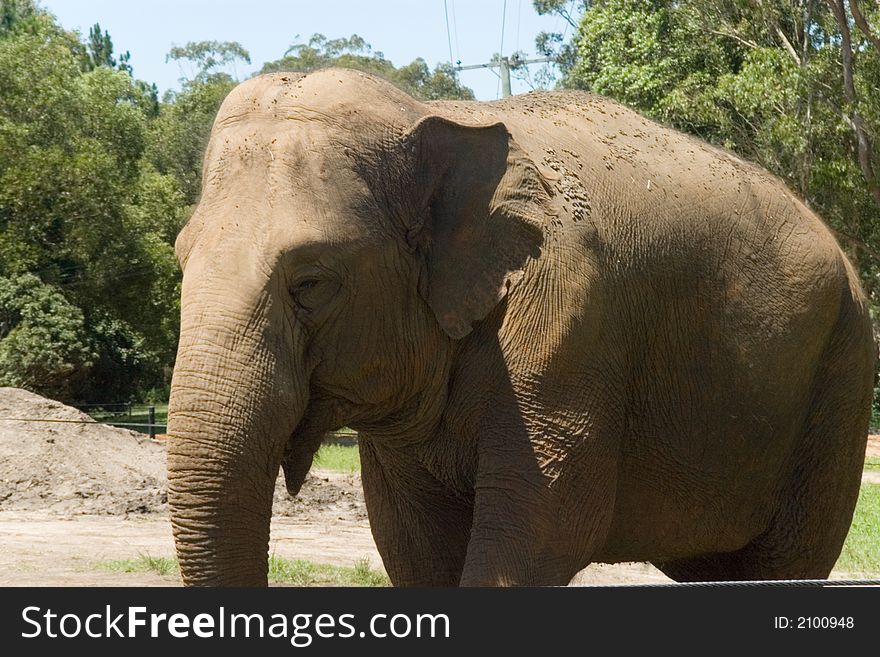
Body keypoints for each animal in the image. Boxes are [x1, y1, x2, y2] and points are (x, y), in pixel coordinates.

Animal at [165, 69, 872, 588]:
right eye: (179, 259)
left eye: (310, 284)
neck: (432, 114)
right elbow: (414, 543)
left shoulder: (571, 322)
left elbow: (546, 523)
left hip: (839, 381)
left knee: (788, 561)